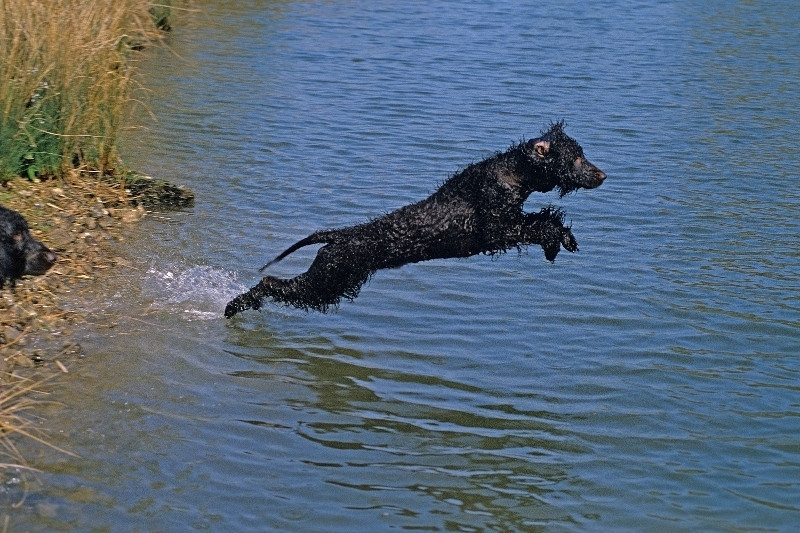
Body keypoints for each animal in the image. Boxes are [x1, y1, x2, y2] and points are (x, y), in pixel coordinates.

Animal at [225, 121, 608, 316]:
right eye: (575, 158)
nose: (603, 175)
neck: (511, 172)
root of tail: (339, 236)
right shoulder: (497, 230)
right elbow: (541, 223)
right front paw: (556, 241)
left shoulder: (507, 223)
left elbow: (547, 219)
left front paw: (563, 241)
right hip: (326, 282)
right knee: (271, 283)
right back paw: (235, 305)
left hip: (332, 281)